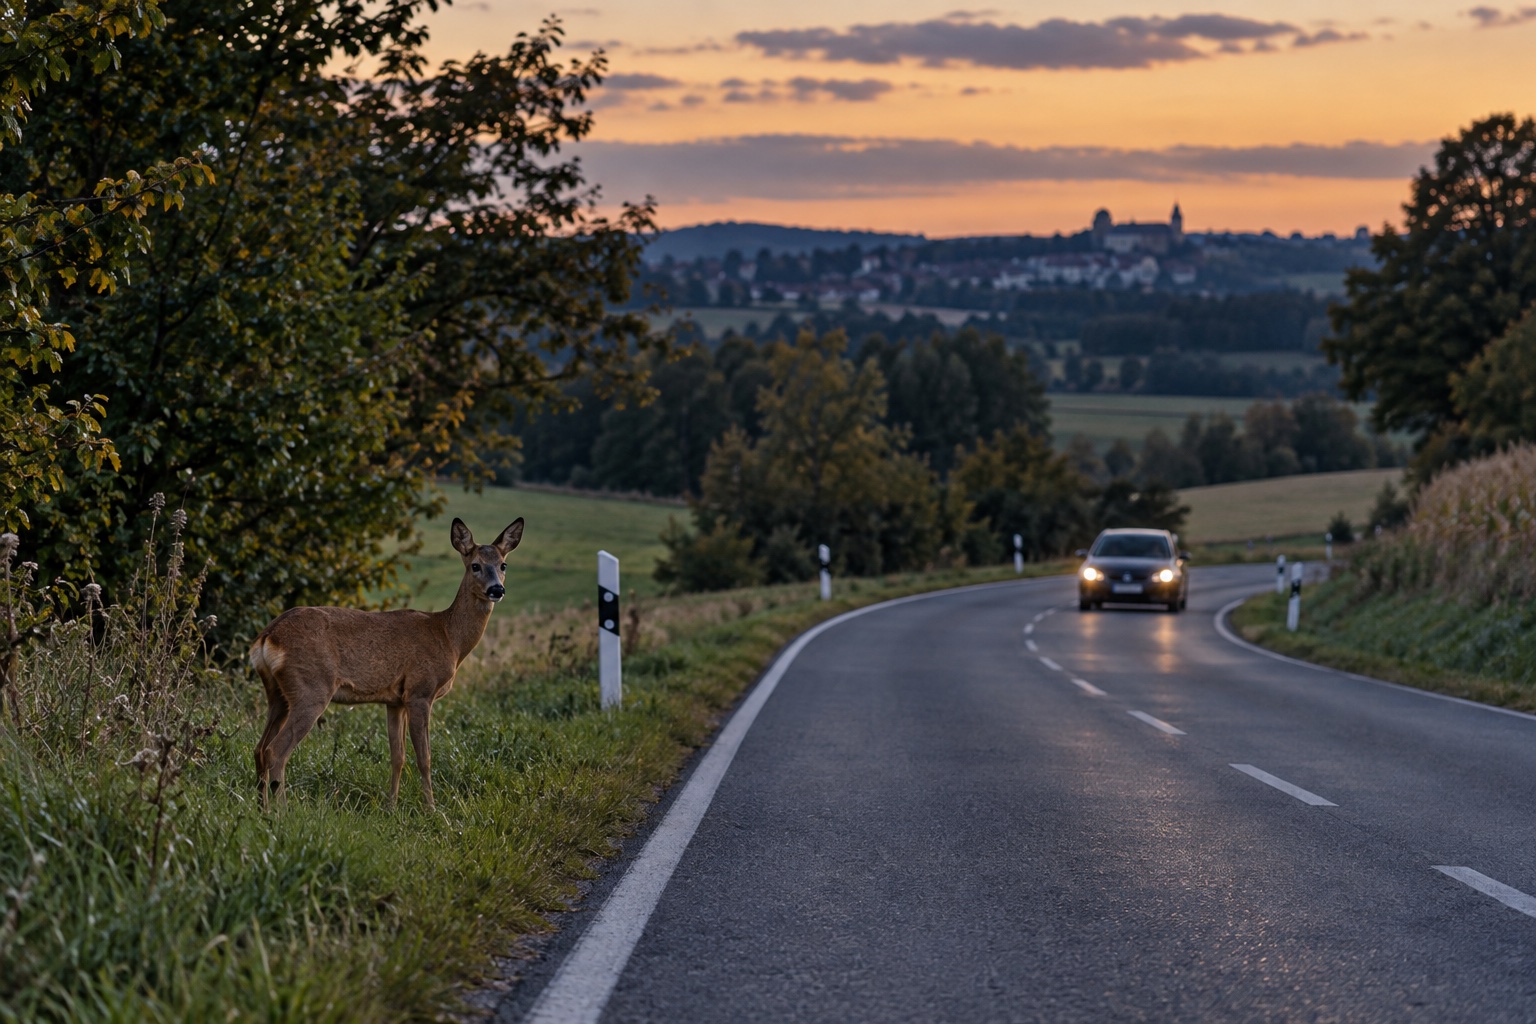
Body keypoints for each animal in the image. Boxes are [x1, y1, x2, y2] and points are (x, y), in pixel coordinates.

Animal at [249, 517, 523, 811]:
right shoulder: (420, 691)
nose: (497, 589)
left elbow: (397, 756)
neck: (449, 638)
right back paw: (281, 811)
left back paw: (262, 809)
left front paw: (390, 806)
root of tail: (267, 636)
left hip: (278, 694)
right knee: (276, 750)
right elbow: (424, 758)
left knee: (259, 748)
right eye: (475, 565)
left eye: (503, 564)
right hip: (311, 688)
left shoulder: (394, 701)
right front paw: (432, 810)